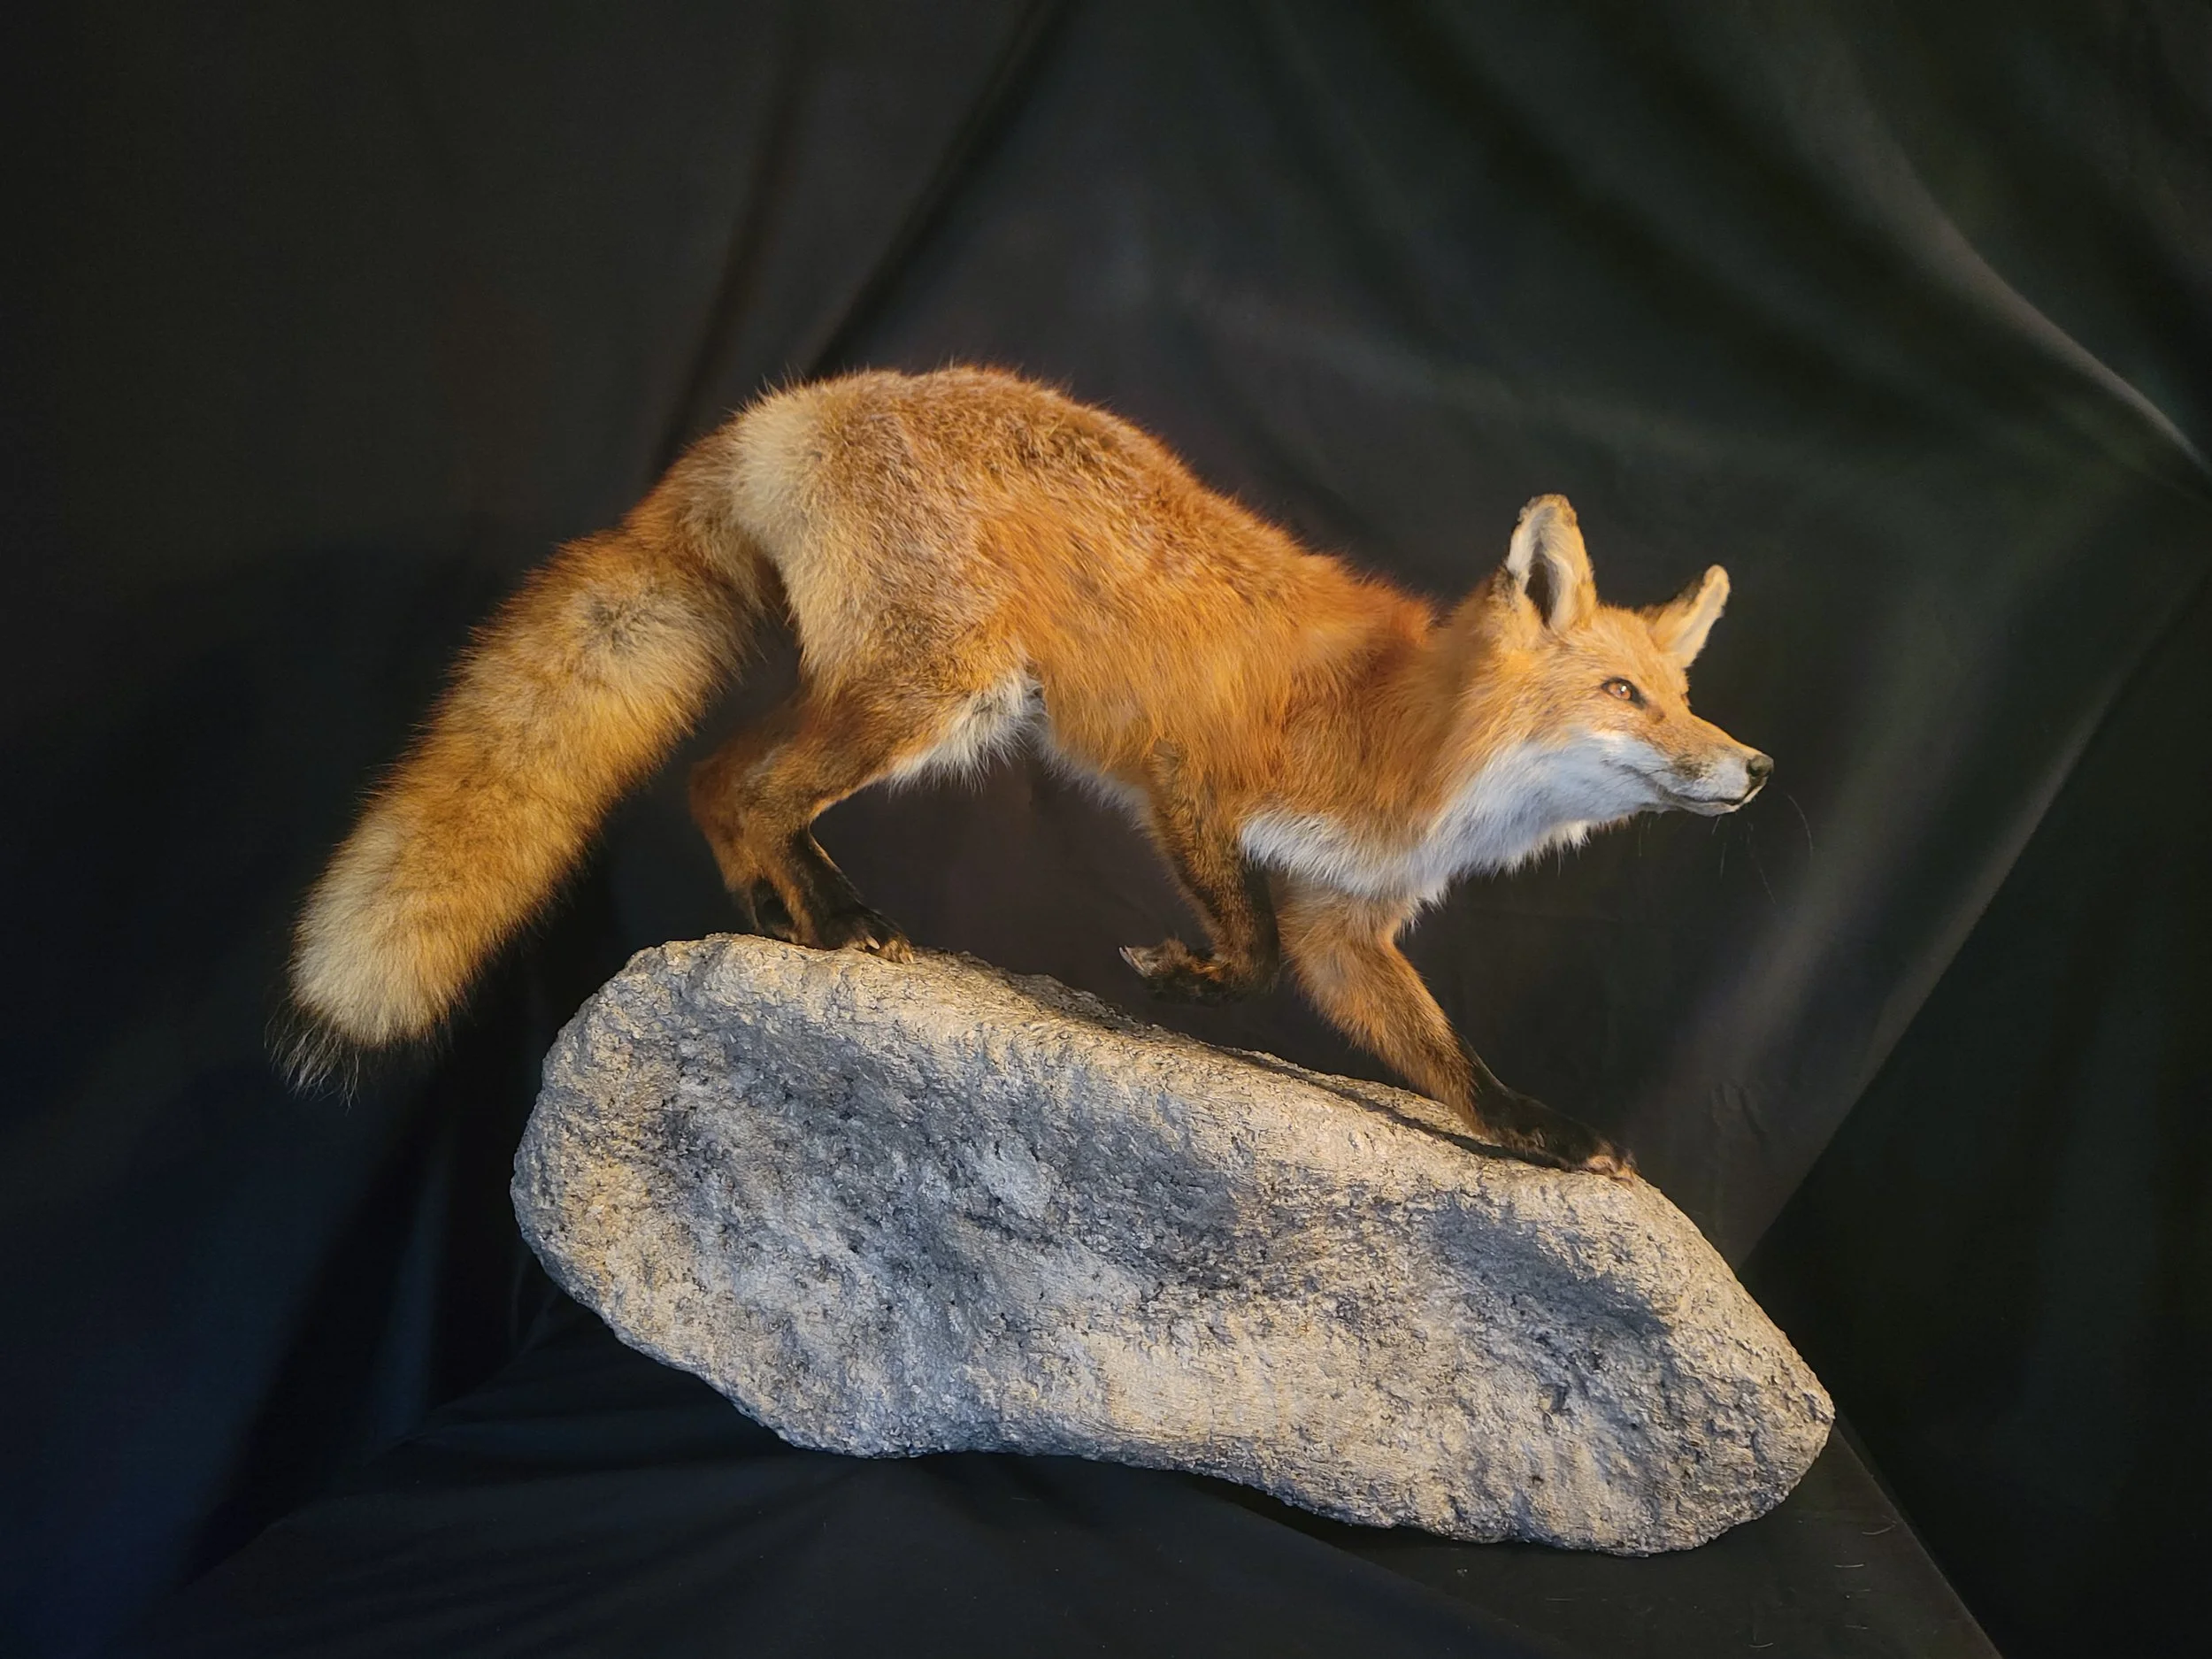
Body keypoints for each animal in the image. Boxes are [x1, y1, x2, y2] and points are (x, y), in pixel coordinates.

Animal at [285, 366, 1769, 1177]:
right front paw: (1176, 974)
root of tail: (795, 404)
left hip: (902, 702)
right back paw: (811, 923)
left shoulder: (1348, 924)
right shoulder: (1192, 783)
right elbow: (1246, 951)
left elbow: (1442, 1055)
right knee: (736, 785)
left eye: (1687, 693)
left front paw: (1537, 1131)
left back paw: (813, 909)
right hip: (936, 698)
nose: (1752, 766)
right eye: (1625, 694)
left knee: (730, 780)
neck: (1402, 732)